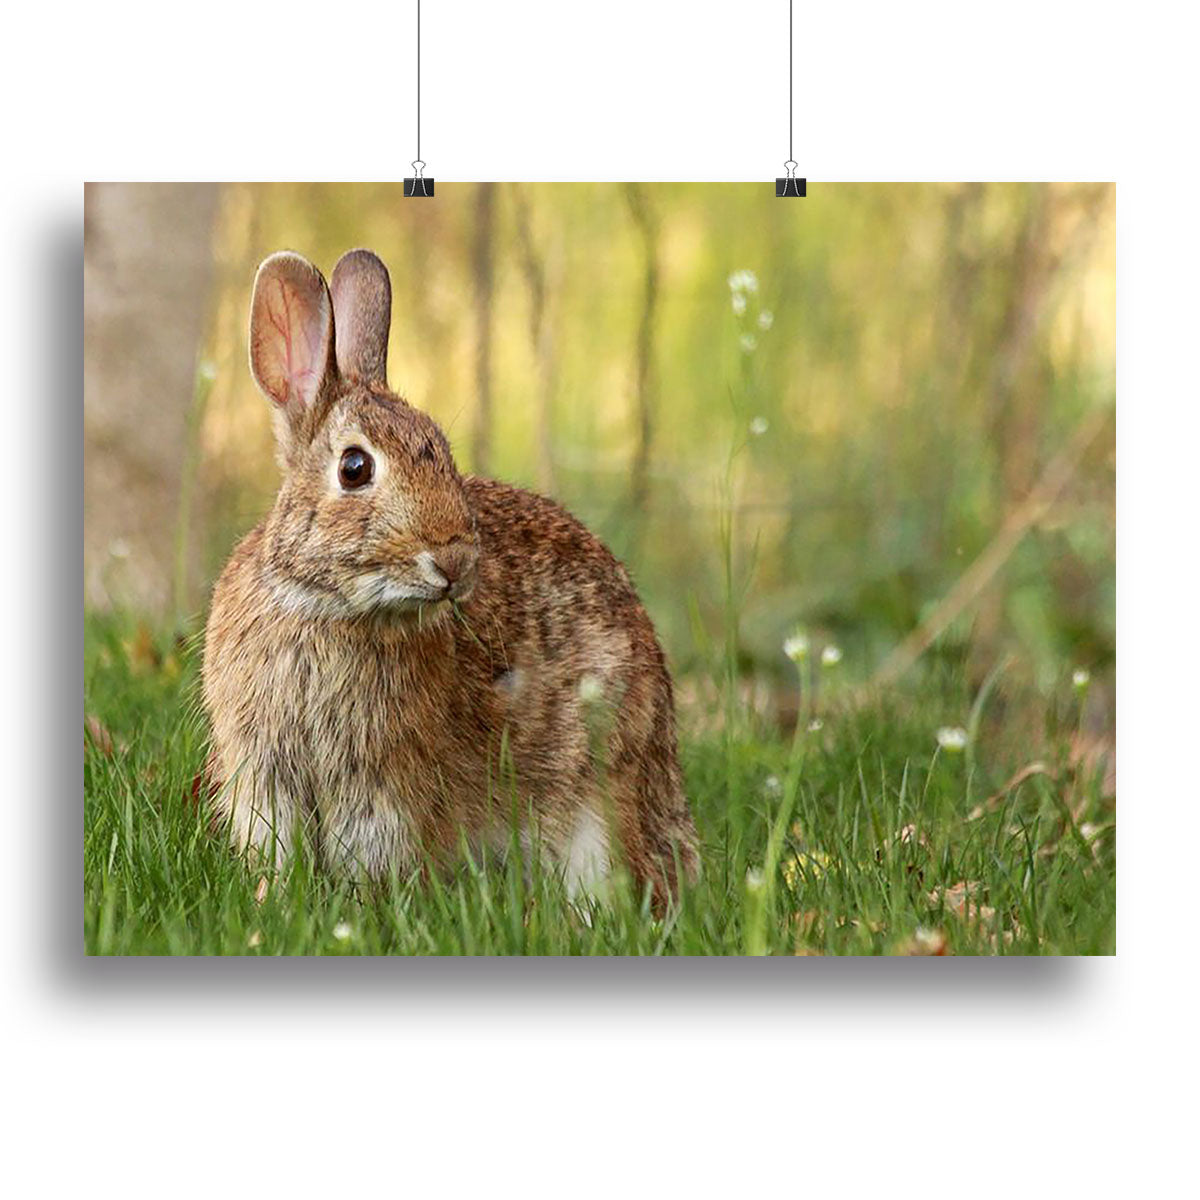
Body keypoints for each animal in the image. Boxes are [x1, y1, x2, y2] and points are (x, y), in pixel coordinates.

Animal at [202, 248, 700, 906]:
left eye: (443, 449)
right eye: (354, 467)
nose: (457, 561)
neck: (323, 605)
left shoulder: (381, 788)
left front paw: (362, 908)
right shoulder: (265, 774)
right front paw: (275, 901)